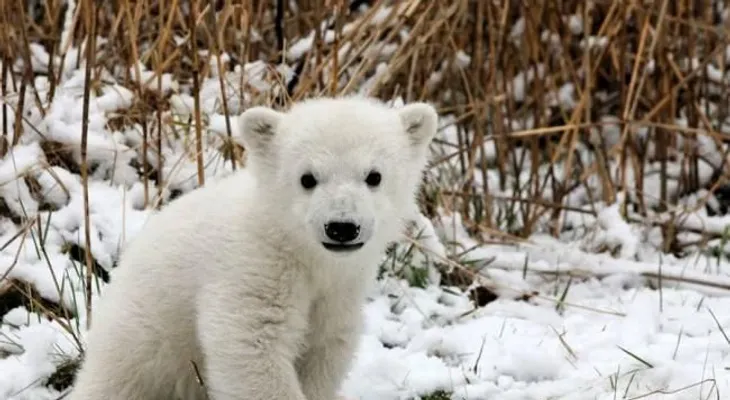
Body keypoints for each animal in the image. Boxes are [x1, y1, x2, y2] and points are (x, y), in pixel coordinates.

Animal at [66, 95, 438, 400]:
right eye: (307, 178)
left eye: (374, 176)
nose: (342, 227)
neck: (298, 248)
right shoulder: (252, 269)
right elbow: (251, 345)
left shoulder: (339, 291)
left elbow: (325, 348)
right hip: (139, 344)